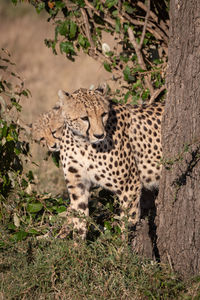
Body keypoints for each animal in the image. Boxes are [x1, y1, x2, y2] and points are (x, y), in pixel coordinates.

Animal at [32, 87, 164, 239]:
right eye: (84, 118)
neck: (82, 142)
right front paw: (77, 244)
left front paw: (124, 245)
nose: (99, 135)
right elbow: (79, 218)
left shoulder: (130, 184)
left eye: (103, 114)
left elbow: (128, 220)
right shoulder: (78, 184)